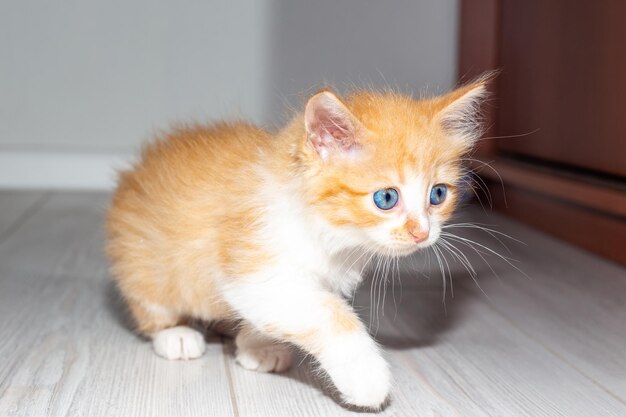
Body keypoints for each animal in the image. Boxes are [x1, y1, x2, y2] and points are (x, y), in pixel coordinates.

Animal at [105, 79, 488, 410]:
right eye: (386, 198)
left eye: (437, 194)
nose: (422, 233)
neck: (329, 233)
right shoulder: (255, 268)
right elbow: (327, 314)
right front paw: (366, 376)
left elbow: (268, 315)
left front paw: (255, 345)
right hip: (143, 261)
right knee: (152, 304)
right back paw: (176, 335)